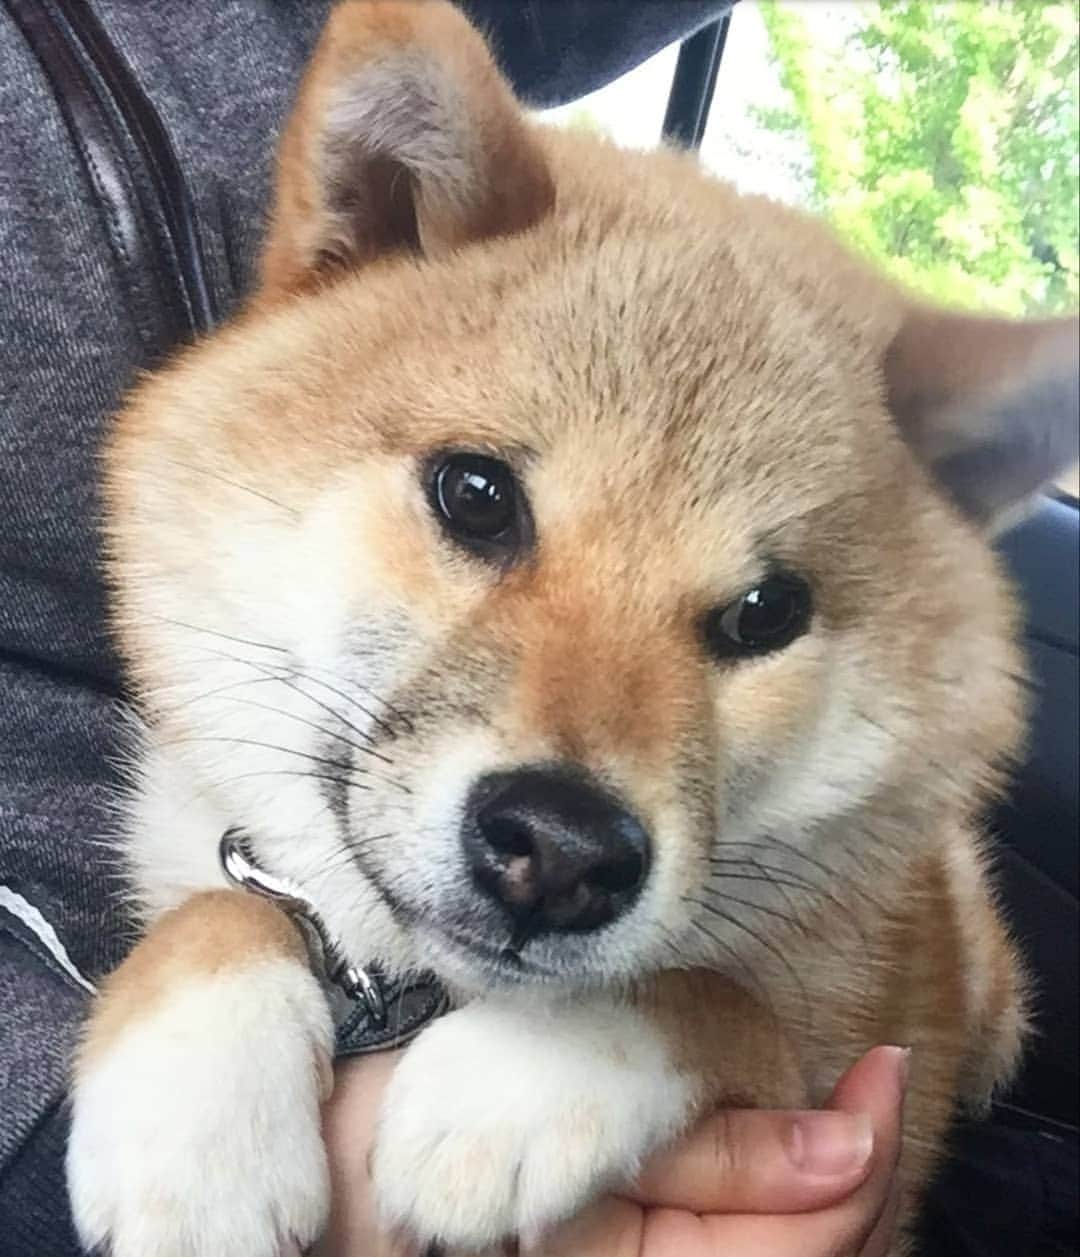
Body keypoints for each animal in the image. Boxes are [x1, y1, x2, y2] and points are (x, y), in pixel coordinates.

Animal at [65, 2, 1080, 1257]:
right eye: (476, 495)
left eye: (767, 612)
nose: (561, 852)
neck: (408, 982)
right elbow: (227, 906)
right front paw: (192, 1123)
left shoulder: (832, 1068)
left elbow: (709, 994)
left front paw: (513, 1082)